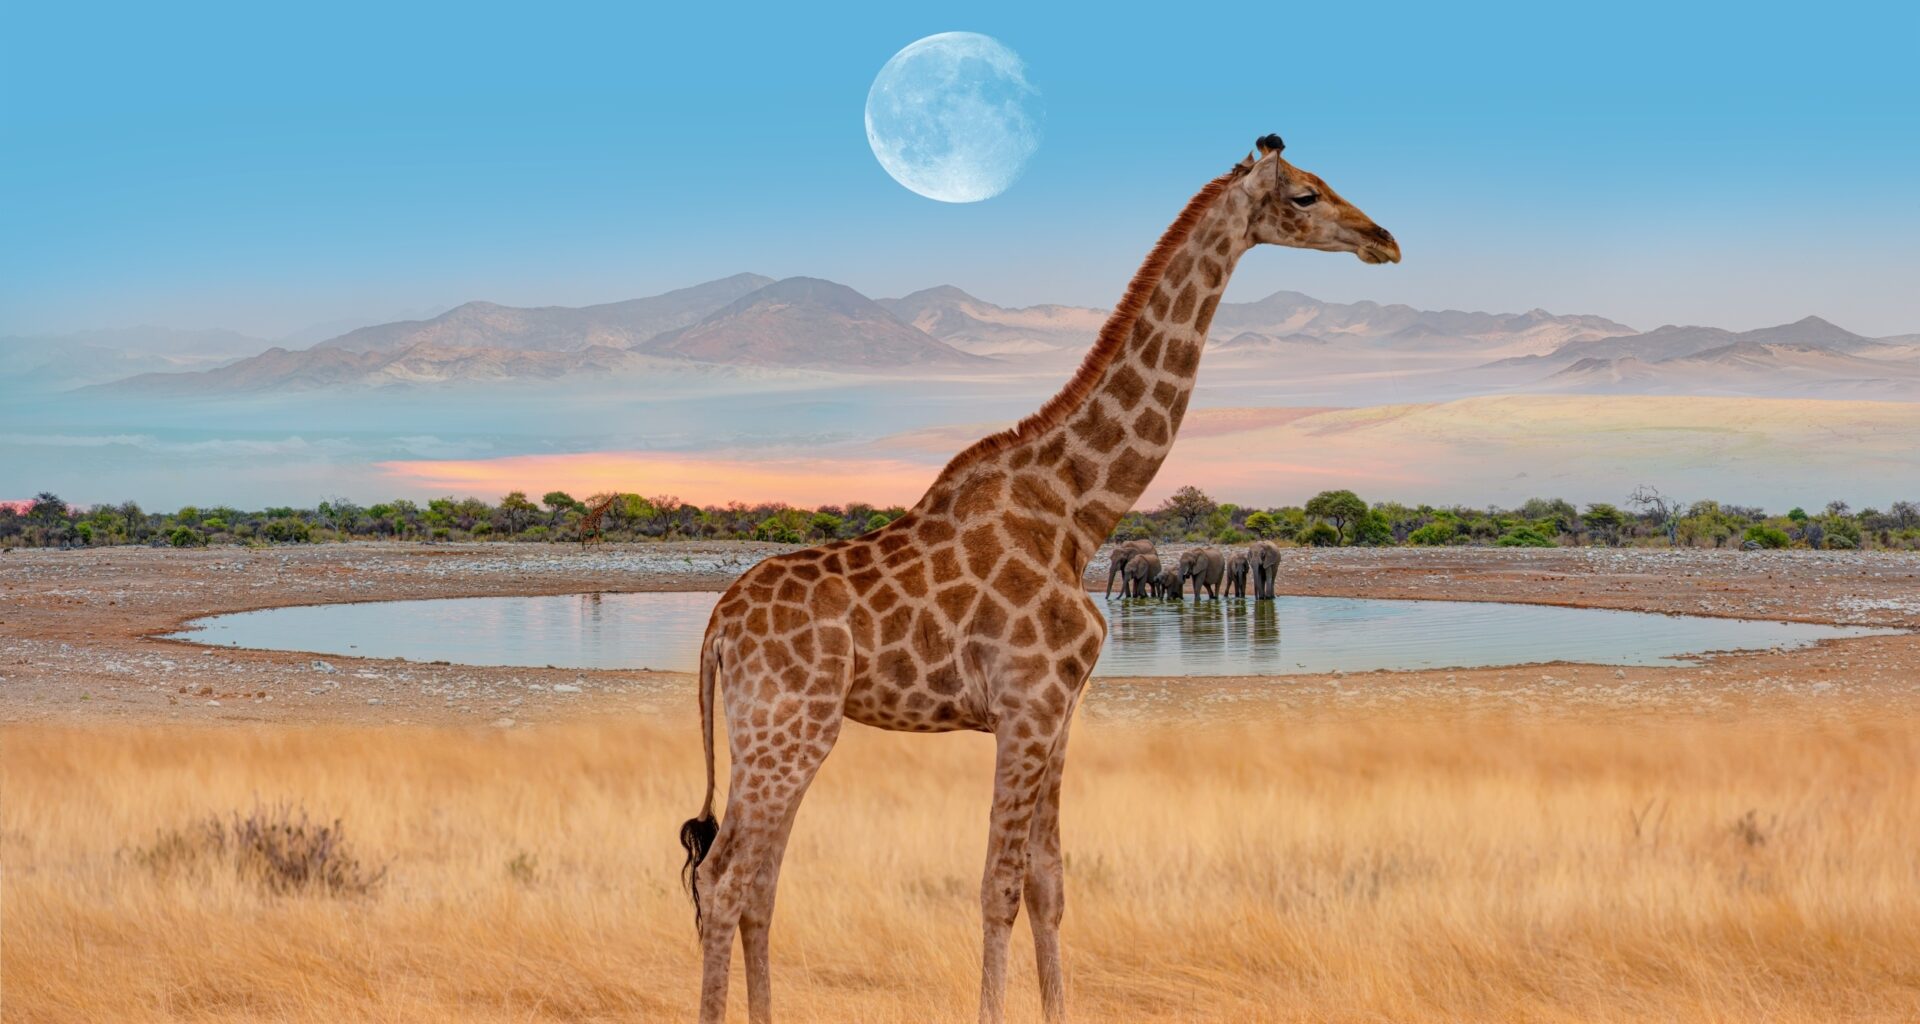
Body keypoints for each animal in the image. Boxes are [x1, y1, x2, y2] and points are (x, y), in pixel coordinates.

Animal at [679, 133, 1399, 1024]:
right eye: (1304, 195)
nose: (1383, 240)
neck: (1077, 510)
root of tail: (716, 626)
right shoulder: (1026, 705)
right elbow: (998, 887)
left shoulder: (1061, 714)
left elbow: (1049, 885)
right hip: (789, 727)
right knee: (724, 878)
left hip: (771, 731)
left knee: (758, 883)